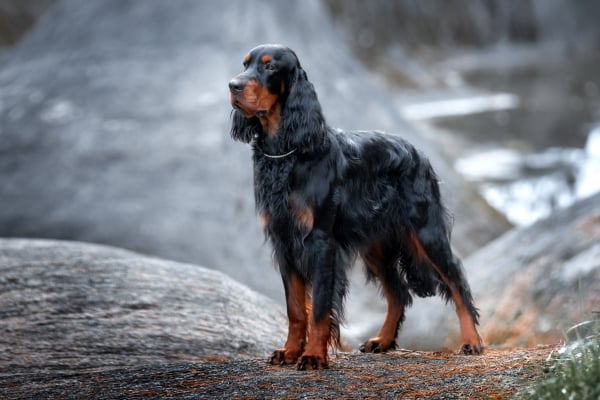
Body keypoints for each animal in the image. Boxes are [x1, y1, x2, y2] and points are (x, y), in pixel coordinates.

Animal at [227, 43, 480, 368]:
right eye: (245, 64)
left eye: (270, 67)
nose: (233, 85)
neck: (287, 153)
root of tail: (418, 151)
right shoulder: (284, 240)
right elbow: (295, 308)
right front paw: (290, 351)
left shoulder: (321, 241)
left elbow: (319, 307)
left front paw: (313, 355)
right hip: (376, 244)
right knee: (399, 292)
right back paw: (382, 340)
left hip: (426, 232)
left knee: (457, 281)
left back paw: (471, 341)